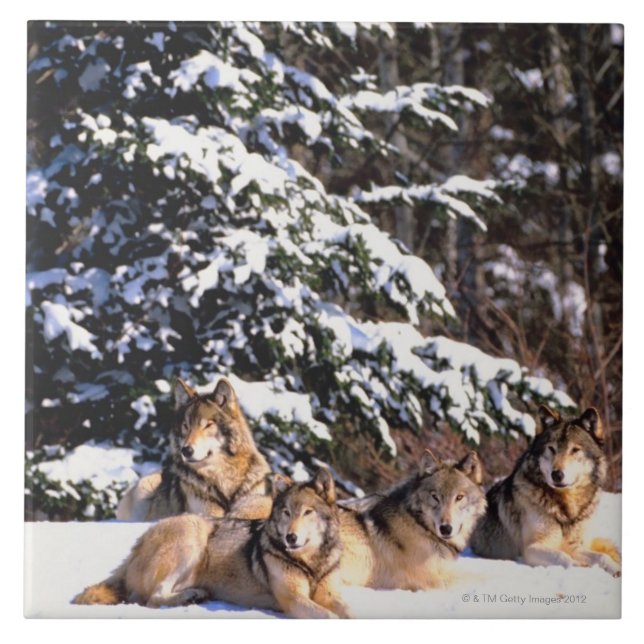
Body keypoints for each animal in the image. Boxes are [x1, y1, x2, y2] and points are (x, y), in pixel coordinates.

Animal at [74, 469, 349, 618]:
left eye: (308, 512)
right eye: (286, 513)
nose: (290, 537)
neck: (313, 563)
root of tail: (135, 547)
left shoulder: (330, 595)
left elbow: (347, 612)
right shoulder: (293, 599)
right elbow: (330, 616)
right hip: (191, 533)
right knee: (153, 598)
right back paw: (189, 597)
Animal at [116, 377, 272, 521]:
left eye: (208, 425)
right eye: (186, 426)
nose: (186, 450)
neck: (223, 479)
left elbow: (257, 507)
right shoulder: (204, 512)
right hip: (145, 487)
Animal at [335, 450, 487, 591]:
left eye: (459, 497)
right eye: (435, 497)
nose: (445, 529)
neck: (419, 524)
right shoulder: (433, 580)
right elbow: (480, 578)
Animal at [470, 405, 620, 577]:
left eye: (575, 450)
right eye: (551, 449)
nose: (557, 475)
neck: (565, 509)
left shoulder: (575, 547)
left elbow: (602, 556)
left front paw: (615, 568)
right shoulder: (531, 548)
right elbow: (563, 557)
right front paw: (579, 566)